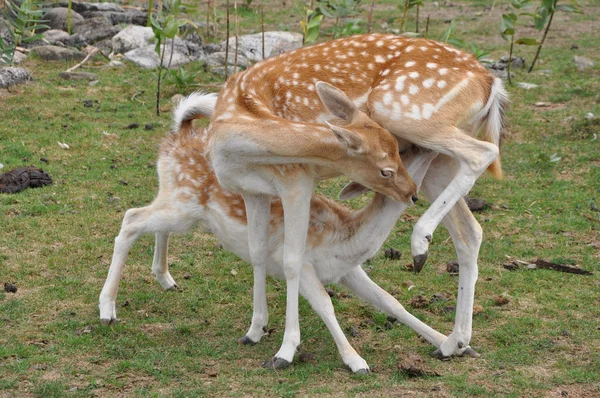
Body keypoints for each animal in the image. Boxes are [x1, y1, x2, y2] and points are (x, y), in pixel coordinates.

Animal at [97, 95, 464, 374]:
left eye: (404, 152)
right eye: (393, 164)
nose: (413, 193)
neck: (346, 241)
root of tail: (176, 136)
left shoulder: (347, 271)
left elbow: (392, 301)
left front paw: (450, 344)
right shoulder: (304, 264)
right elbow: (326, 304)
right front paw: (356, 361)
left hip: (179, 207)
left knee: (152, 222)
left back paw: (166, 279)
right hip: (182, 205)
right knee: (131, 218)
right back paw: (108, 310)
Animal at [206, 32, 506, 362]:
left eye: (395, 154)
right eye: (386, 169)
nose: (410, 194)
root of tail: (491, 83)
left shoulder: (296, 180)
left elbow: (292, 260)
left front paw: (286, 350)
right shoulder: (251, 191)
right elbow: (257, 252)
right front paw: (254, 331)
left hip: (404, 114)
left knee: (484, 152)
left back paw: (420, 244)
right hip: (436, 160)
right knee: (470, 231)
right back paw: (454, 342)